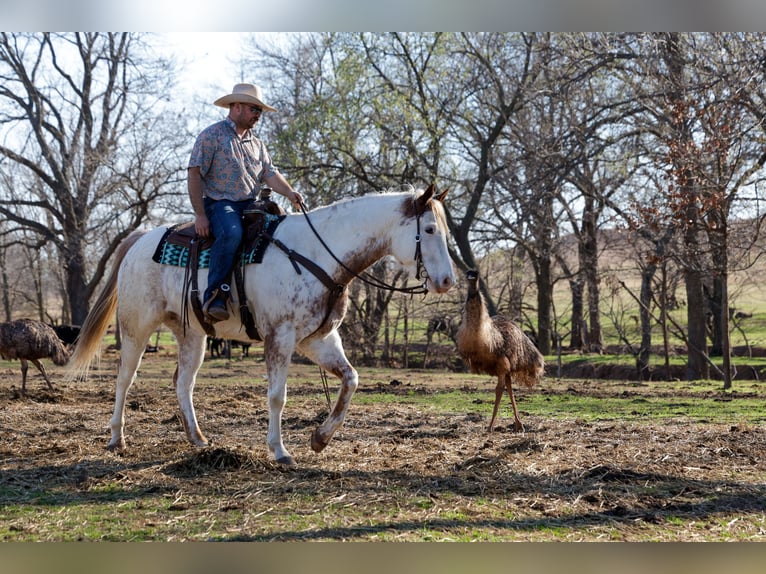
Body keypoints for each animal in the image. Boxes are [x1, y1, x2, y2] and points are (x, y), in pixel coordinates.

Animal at [68, 185, 455, 465]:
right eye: (429, 229)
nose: (447, 281)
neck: (315, 253)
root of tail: (140, 240)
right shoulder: (280, 337)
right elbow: (277, 396)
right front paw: (280, 451)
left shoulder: (318, 339)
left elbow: (350, 380)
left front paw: (320, 438)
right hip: (136, 329)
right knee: (125, 379)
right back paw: (116, 437)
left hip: (192, 335)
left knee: (183, 383)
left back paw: (197, 438)